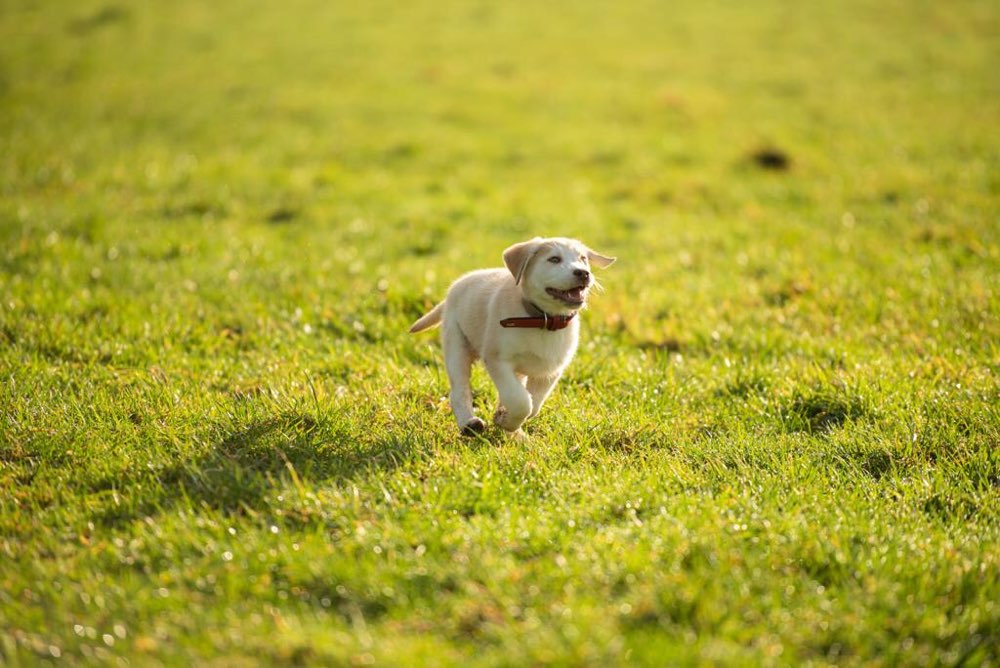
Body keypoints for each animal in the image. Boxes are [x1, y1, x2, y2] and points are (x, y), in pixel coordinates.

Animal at [410, 236, 612, 438]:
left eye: (583, 259)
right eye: (554, 259)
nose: (583, 273)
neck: (542, 320)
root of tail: (453, 289)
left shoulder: (549, 371)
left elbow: (533, 405)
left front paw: (505, 419)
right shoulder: (497, 359)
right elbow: (521, 401)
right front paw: (506, 421)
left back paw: (516, 435)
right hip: (457, 347)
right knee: (459, 391)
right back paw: (470, 423)